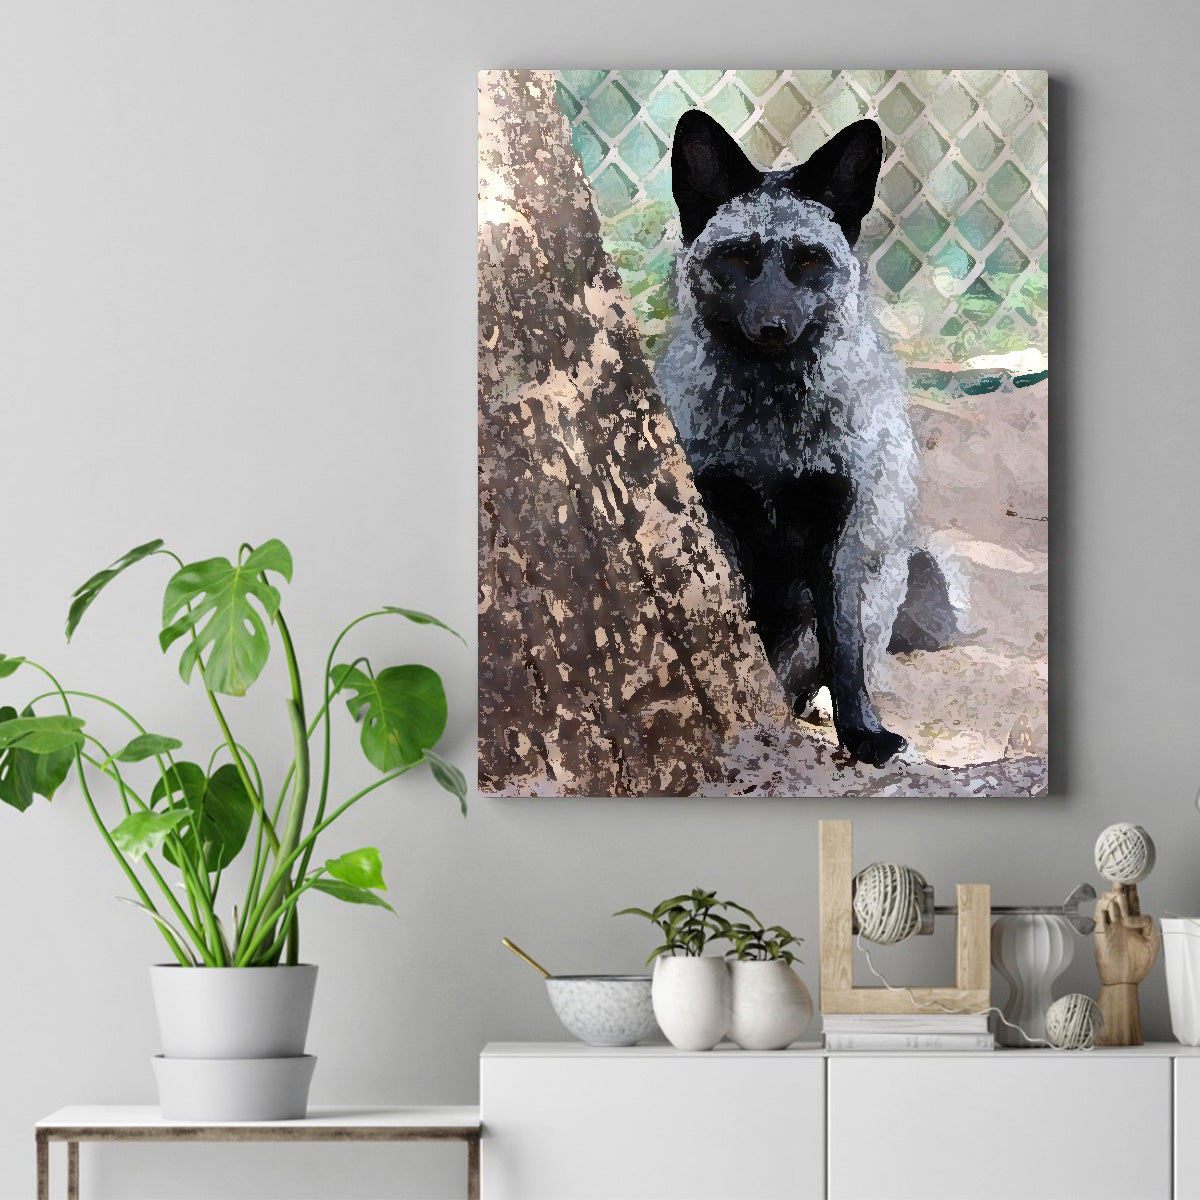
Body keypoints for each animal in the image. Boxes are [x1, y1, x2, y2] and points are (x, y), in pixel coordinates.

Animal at [656, 110, 952, 767]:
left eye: (810, 261)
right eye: (739, 257)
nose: (773, 326)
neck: (772, 437)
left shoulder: (839, 526)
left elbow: (845, 650)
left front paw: (863, 732)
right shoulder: (717, 511)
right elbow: (739, 615)